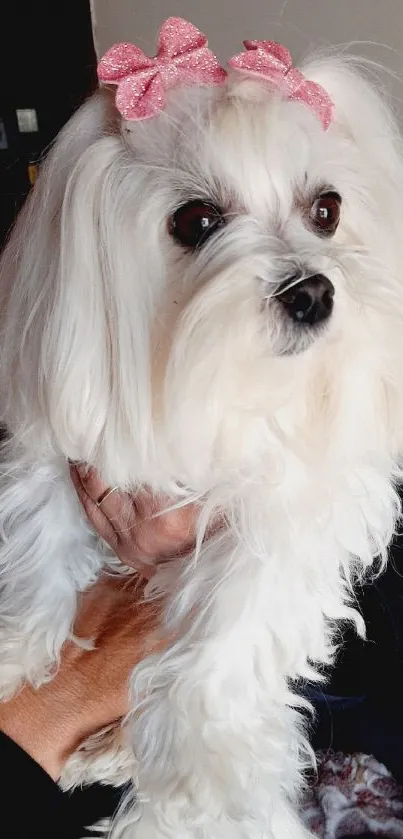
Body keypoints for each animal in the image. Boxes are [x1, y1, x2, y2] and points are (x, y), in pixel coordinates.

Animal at [0, 16, 403, 839]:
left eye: (326, 210)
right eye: (196, 221)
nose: (313, 292)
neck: (222, 385)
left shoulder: (304, 507)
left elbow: (235, 619)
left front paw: (194, 785)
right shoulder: (61, 444)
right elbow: (35, 548)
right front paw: (13, 649)